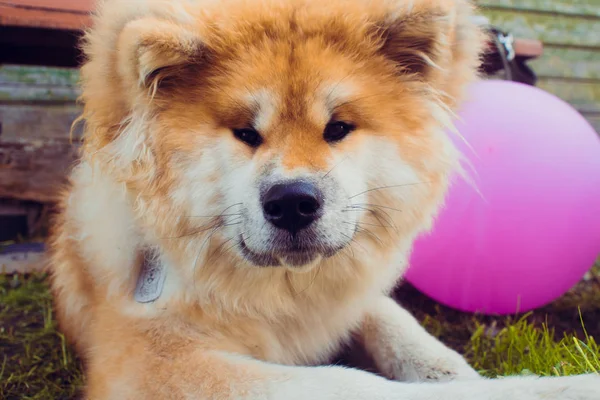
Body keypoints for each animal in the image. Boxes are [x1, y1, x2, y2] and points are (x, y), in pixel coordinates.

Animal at [51, 0, 600, 398]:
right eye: (246, 133)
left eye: (338, 128)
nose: (293, 202)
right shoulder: (151, 360)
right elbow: (352, 382)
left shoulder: (346, 296)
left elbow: (406, 332)